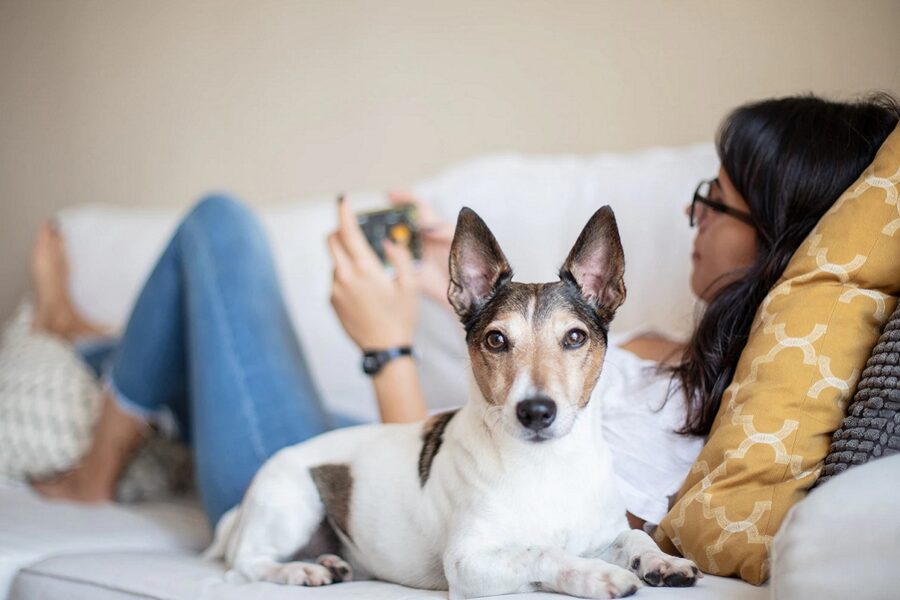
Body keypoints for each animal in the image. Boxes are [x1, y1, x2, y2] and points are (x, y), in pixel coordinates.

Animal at [206, 205, 704, 596]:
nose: (536, 411)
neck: (546, 466)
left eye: (575, 337)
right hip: (293, 501)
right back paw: (300, 570)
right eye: (496, 340)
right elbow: (542, 551)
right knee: (245, 566)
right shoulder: (469, 562)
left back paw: (328, 563)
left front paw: (662, 560)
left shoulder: (606, 531)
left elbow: (634, 540)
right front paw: (597, 575)